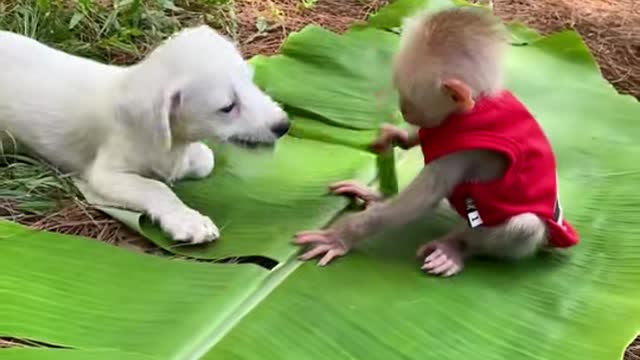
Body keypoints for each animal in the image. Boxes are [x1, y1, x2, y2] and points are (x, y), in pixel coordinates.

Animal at [0, 26, 290, 243]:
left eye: (251, 83)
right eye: (228, 107)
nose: (284, 125)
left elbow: (203, 162)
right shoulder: (106, 175)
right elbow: (156, 188)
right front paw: (187, 219)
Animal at [296, 7, 580, 278]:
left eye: (407, 96)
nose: (403, 110)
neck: (475, 106)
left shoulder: (464, 152)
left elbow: (419, 200)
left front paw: (341, 236)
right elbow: (421, 138)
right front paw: (396, 136)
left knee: (524, 225)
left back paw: (454, 248)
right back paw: (378, 196)